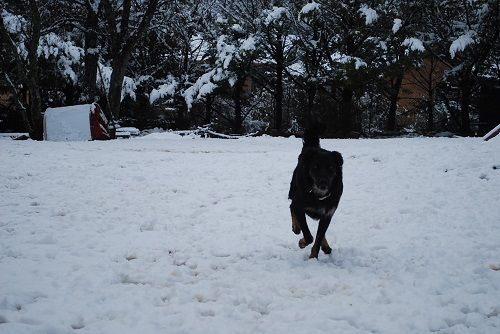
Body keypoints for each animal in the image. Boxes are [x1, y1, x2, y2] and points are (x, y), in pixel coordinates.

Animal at [290, 128, 344, 258]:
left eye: (331, 167)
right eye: (315, 167)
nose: (323, 182)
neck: (318, 195)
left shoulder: (328, 214)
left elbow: (319, 238)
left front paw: (313, 257)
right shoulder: (299, 206)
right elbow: (309, 236)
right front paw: (302, 242)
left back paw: (326, 247)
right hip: (293, 190)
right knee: (291, 206)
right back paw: (296, 227)